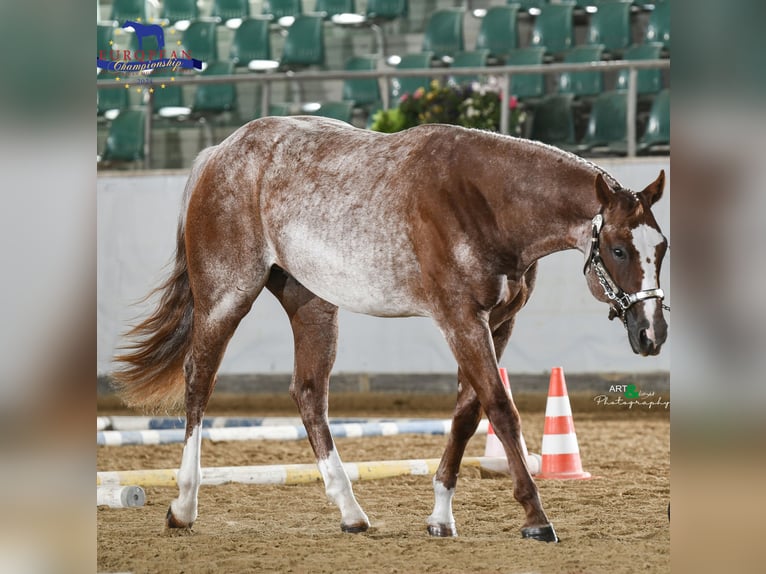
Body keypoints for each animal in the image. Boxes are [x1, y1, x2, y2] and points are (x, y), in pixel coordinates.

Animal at [113, 116, 668, 543]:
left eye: (660, 247)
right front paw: (535, 516)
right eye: (619, 249)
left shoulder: (498, 324)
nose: (652, 335)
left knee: (309, 394)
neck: (484, 200)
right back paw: (183, 507)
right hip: (226, 296)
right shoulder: (462, 321)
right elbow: (501, 410)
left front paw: (440, 517)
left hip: (312, 305)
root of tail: (218, 154)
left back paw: (350, 512)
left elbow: (467, 415)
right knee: (199, 381)